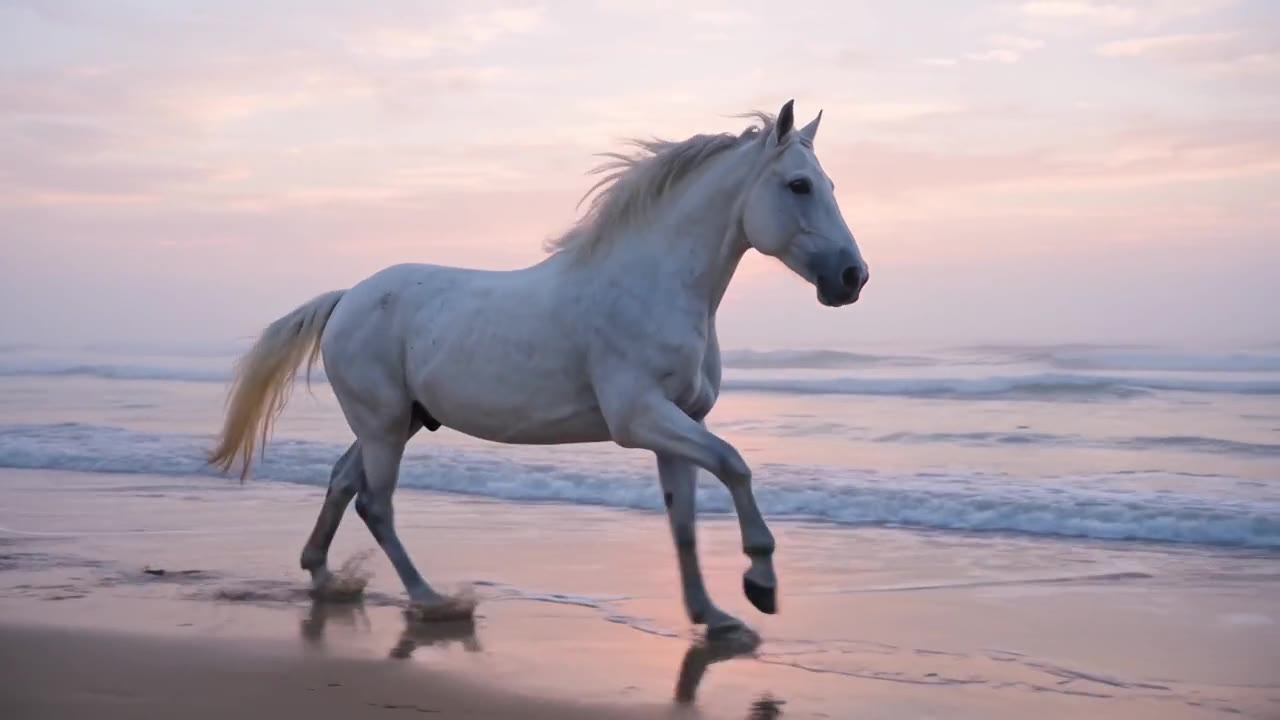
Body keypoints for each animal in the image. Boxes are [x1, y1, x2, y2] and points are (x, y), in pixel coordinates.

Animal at [208, 99, 869, 635]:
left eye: (832, 183)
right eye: (799, 185)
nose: (852, 277)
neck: (652, 285)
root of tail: (347, 298)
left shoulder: (679, 422)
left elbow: (682, 521)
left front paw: (713, 615)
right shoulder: (639, 419)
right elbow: (735, 465)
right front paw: (760, 583)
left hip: (399, 421)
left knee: (344, 482)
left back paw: (325, 577)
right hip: (383, 425)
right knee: (376, 502)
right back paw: (433, 601)